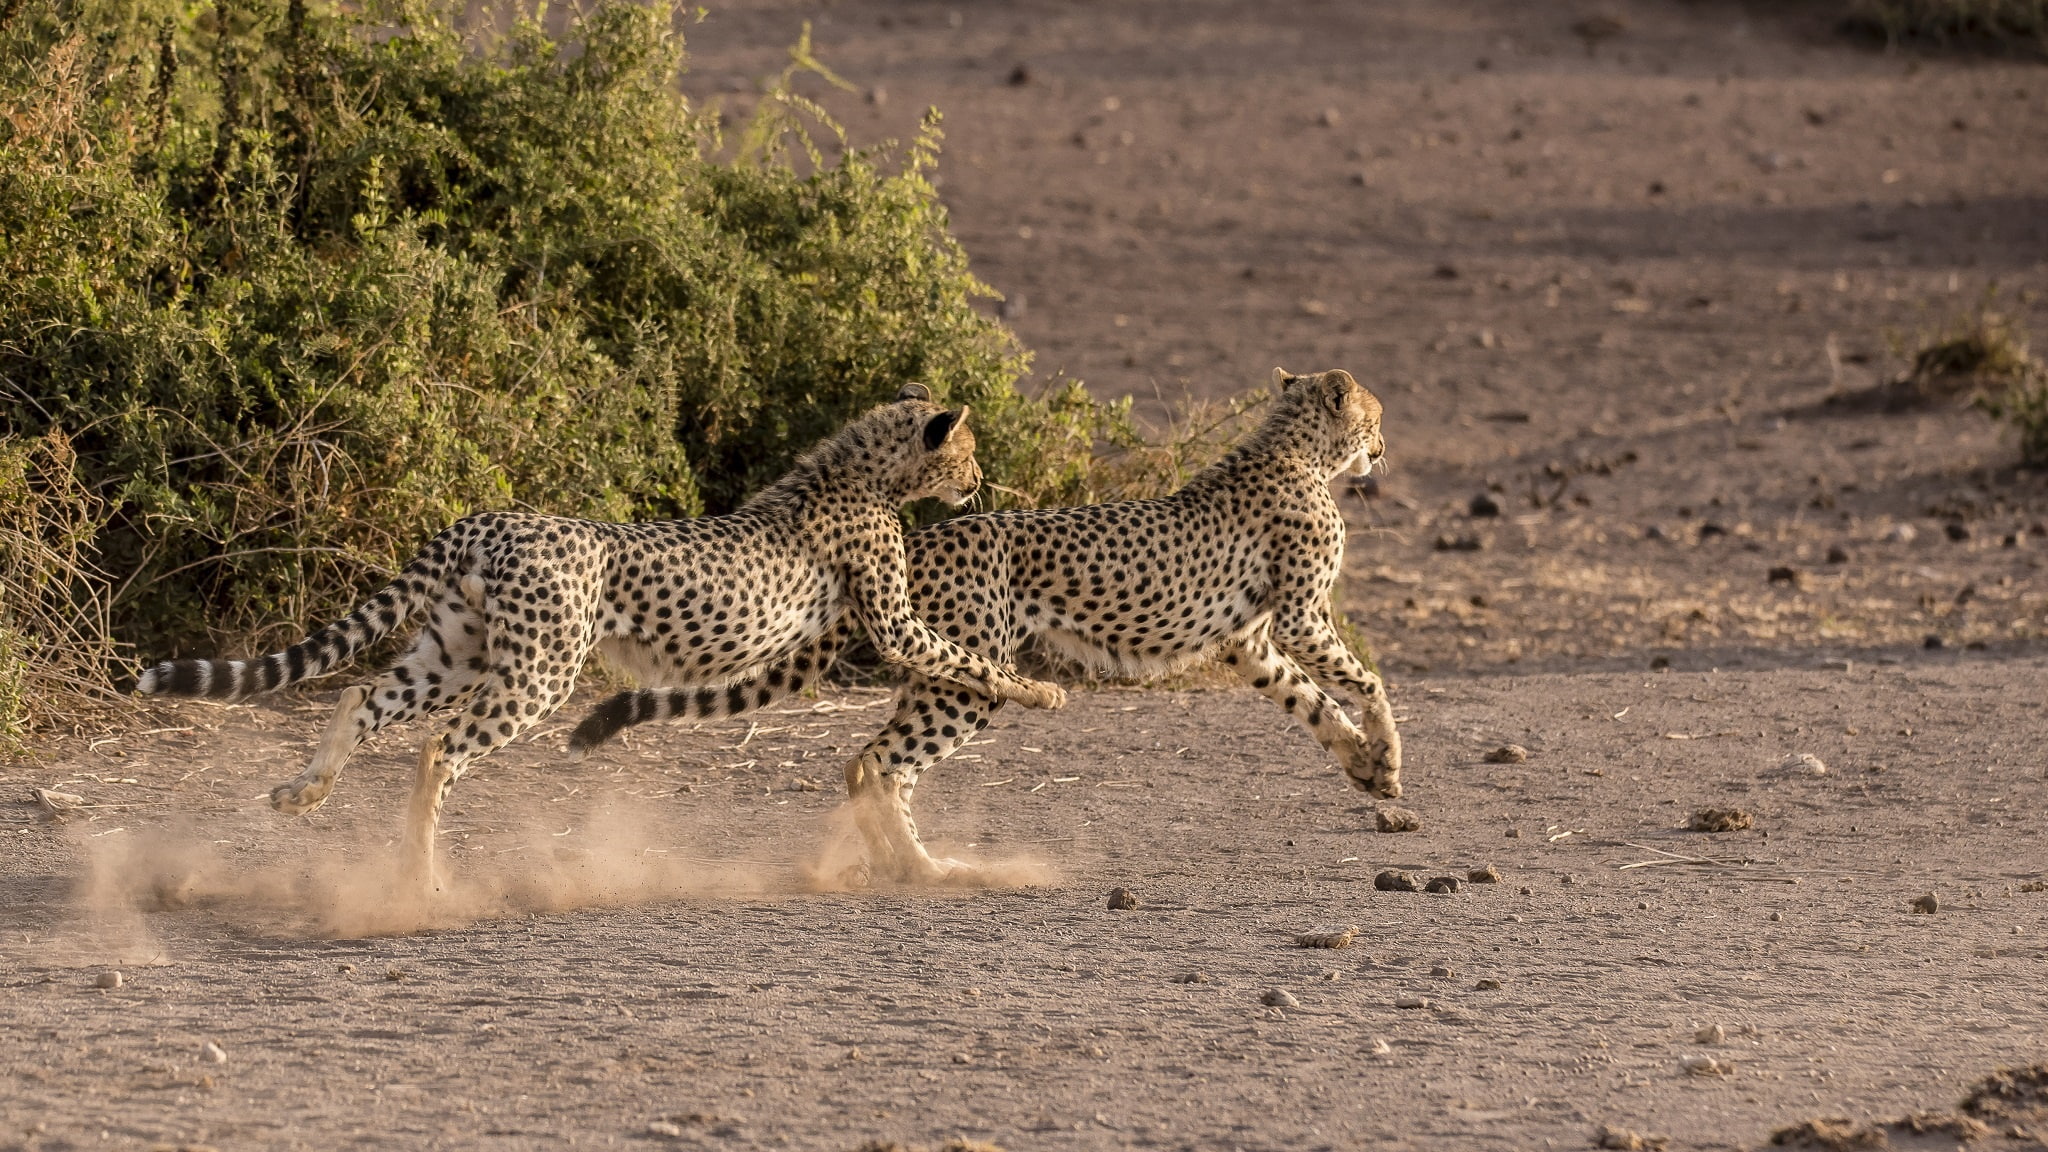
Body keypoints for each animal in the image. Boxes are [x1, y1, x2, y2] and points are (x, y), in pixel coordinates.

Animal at [134, 384, 1066, 891]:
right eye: (967, 454)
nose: (980, 482)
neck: (862, 473)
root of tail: (491, 517)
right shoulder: (893, 621)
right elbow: (964, 657)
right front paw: (1041, 689)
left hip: (459, 649)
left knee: (364, 693)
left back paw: (307, 792)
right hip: (539, 672)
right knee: (438, 748)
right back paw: (420, 879)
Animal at [568, 368, 1402, 884]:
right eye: (1376, 414)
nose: (1384, 448)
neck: (1293, 450)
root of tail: (924, 535)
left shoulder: (1252, 640)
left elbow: (1312, 702)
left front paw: (1365, 767)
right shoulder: (1299, 617)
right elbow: (1369, 681)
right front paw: (1388, 757)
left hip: (936, 670)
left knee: (866, 763)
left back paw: (899, 864)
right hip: (968, 676)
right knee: (881, 762)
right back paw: (922, 870)